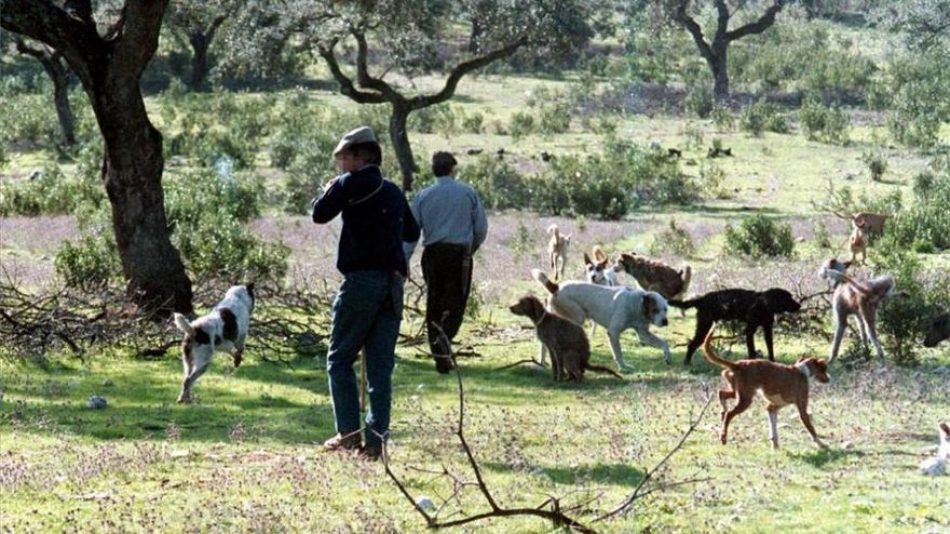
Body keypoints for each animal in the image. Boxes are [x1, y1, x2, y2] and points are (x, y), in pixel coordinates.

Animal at [532, 268, 672, 372]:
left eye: (665, 309)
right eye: (655, 310)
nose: (665, 322)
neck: (637, 304)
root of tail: (556, 287)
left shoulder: (644, 334)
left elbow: (664, 343)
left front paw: (668, 357)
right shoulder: (613, 333)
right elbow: (618, 353)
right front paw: (623, 367)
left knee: (544, 343)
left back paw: (542, 361)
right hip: (577, 317)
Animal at [668, 292, 804, 366]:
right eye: (788, 298)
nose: (799, 305)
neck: (763, 304)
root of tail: (702, 298)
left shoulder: (767, 330)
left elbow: (770, 348)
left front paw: (773, 362)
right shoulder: (750, 330)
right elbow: (752, 350)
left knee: (692, 344)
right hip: (704, 326)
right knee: (691, 345)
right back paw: (687, 363)